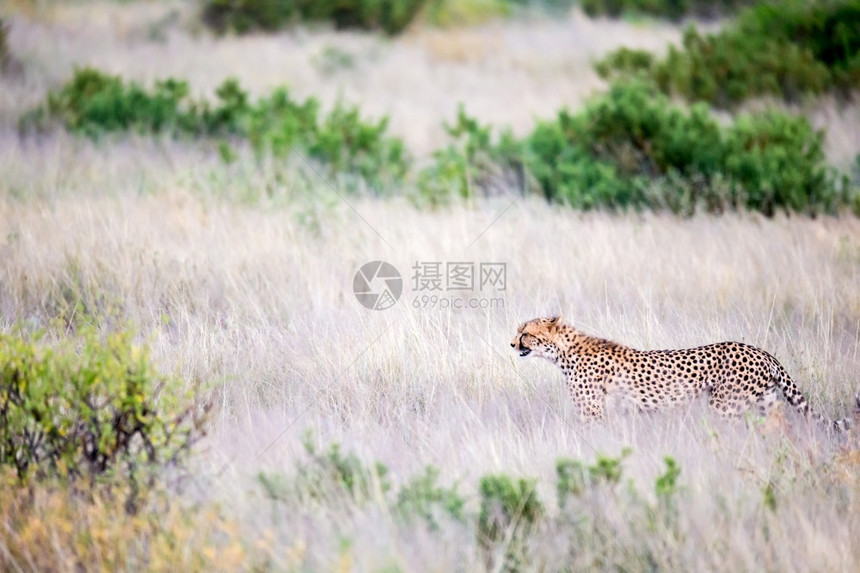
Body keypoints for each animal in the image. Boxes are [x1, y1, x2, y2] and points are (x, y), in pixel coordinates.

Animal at [510, 316, 852, 432]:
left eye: (525, 333)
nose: (512, 344)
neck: (563, 353)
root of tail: (759, 350)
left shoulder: (592, 413)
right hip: (766, 403)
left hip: (724, 408)